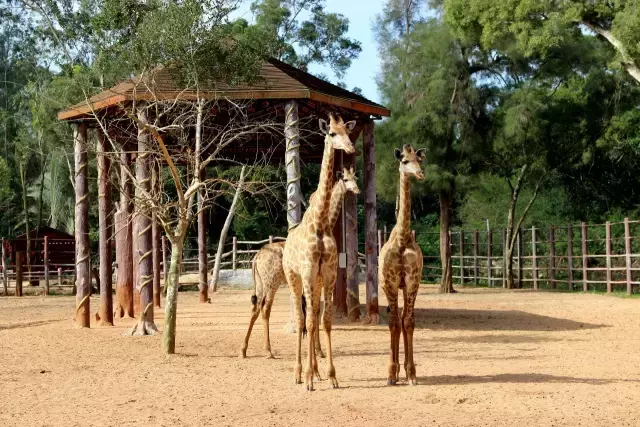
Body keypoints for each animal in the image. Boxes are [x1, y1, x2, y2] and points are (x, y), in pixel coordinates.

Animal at [240, 167, 360, 362]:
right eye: (346, 179)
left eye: (355, 177)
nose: (356, 190)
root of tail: (256, 257)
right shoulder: (317, 280)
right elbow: (313, 312)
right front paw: (317, 352)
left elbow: (313, 312)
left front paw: (316, 351)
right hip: (271, 283)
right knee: (265, 309)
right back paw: (268, 351)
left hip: (260, 283)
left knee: (255, 308)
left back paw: (244, 350)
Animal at [284, 113, 358, 392]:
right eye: (332, 133)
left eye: (347, 131)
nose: (351, 148)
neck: (319, 221)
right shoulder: (306, 273)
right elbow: (309, 322)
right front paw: (308, 378)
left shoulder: (327, 274)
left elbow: (325, 321)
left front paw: (331, 375)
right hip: (293, 278)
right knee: (301, 318)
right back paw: (298, 373)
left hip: (313, 282)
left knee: (312, 316)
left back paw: (314, 370)